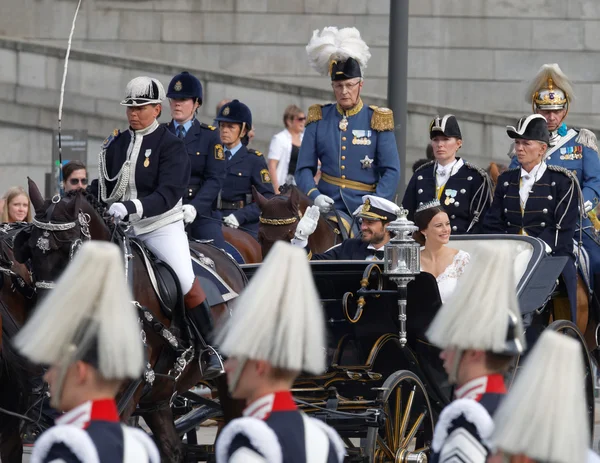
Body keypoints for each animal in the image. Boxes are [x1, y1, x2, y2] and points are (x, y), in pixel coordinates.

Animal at [13, 183, 248, 462]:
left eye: (69, 250)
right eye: (29, 251)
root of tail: (232, 262)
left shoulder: (124, 394)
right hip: (158, 397)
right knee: (172, 449)